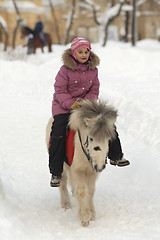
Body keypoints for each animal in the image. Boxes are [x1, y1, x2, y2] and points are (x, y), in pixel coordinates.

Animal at [46, 99, 117, 227]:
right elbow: (82, 191)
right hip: (62, 167)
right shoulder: (77, 170)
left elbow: (90, 191)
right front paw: (84, 218)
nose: (100, 166)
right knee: (62, 183)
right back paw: (66, 204)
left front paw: (92, 214)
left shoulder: (92, 172)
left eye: (108, 139)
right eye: (91, 138)